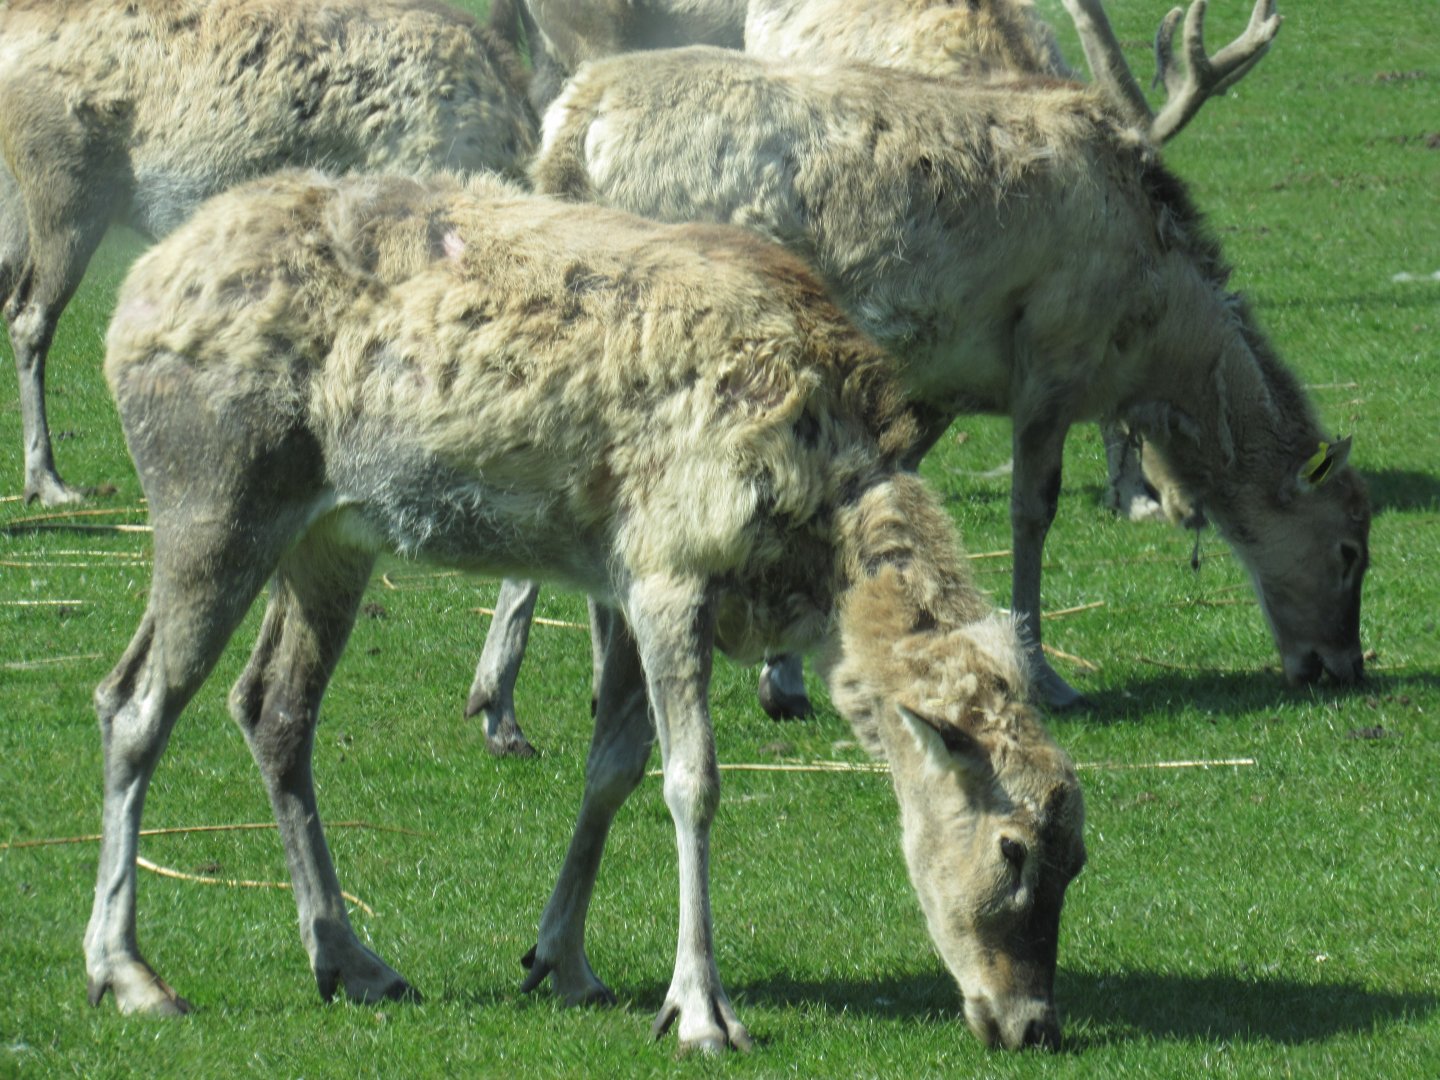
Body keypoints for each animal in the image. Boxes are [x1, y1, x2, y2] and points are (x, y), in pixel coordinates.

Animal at [87, 168, 1087, 1054]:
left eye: (1077, 854)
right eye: (1012, 849)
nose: (1030, 1022)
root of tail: (132, 292)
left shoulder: (626, 574)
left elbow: (613, 766)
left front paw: (560, 959)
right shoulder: (670, 564)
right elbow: (691, 781)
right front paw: (701, 1011)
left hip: (329, 534)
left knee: (270, 707)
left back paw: (352, 960)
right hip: (213, 494)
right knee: (133, 702)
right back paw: (128, 975)